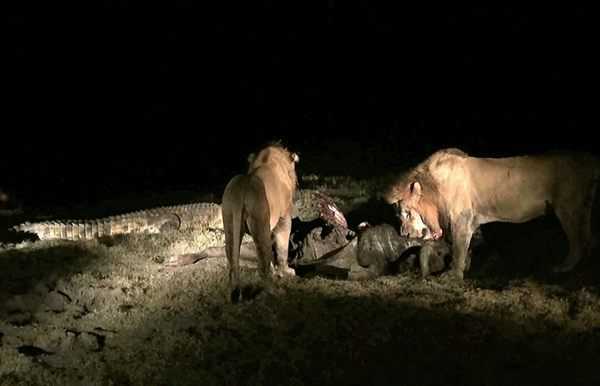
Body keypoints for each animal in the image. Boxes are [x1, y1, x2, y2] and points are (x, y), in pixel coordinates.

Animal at [221, 142, 298, 302]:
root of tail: (241, 189)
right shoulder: (284, 217)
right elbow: (282, 247)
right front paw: (286, 271)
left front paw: (275, 271)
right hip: (259, 219)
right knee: (262, 261)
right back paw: (275, 291)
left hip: (229, 218)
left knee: (232, 259)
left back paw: (231, 292)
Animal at [384, 149, 600, 280]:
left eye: (406, 213)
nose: (404, 234)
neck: (435, 189)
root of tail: (590, 160)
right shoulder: (472, 220)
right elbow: (468, 248)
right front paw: (466, 268)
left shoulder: (461, 220)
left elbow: (458, 249)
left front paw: (454, 275)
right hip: (584, 207)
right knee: (588, 239)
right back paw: (586, 267)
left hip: (568, 209)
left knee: (578, 241)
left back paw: (564, 268)